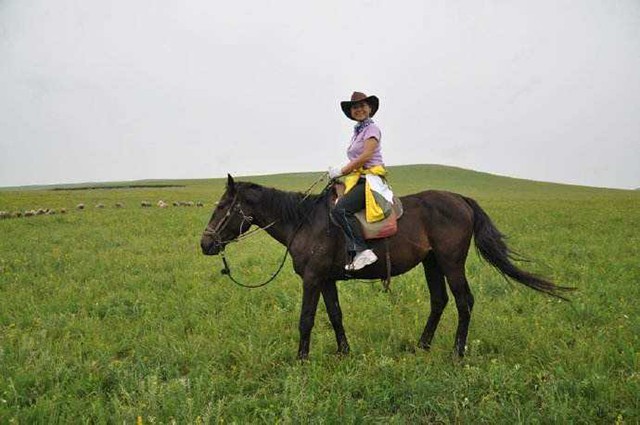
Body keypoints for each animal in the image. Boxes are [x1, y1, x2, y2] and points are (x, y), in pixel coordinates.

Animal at [200, 175, 568, 358]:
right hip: (432, 263)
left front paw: (301, 360)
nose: (205, 244)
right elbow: (335, 315)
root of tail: (461, 200)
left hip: (451, 262)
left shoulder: (312, 279)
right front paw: (344, 353)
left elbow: (306, 319)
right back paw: (422, 347)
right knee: (439, 301)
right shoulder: (326, 280)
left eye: (222, 206)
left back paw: (457, 352)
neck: (305, 222)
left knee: (464, 302)